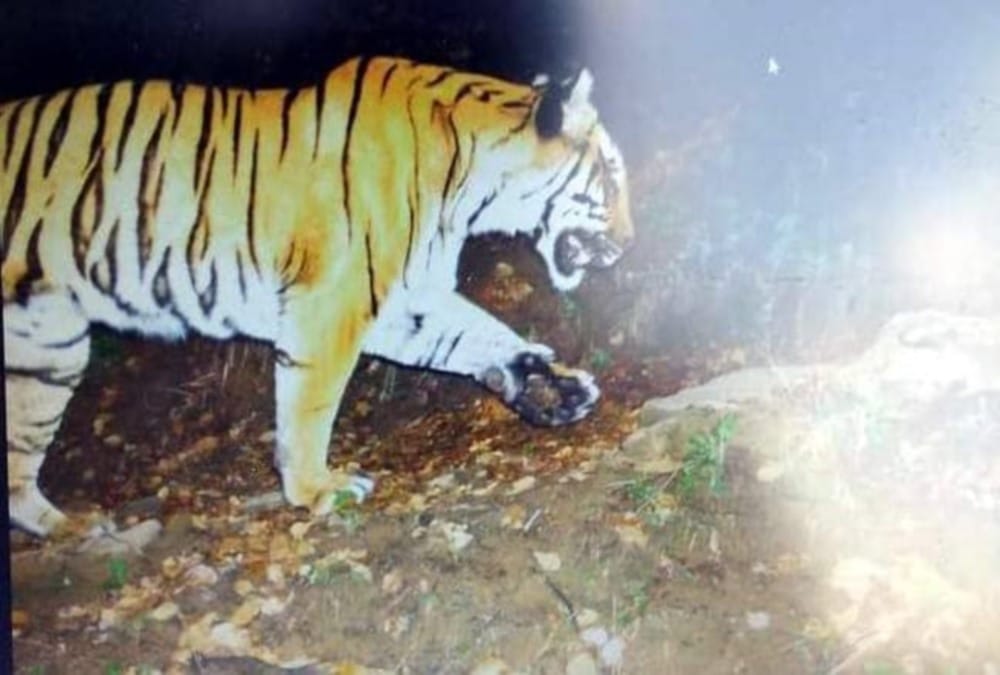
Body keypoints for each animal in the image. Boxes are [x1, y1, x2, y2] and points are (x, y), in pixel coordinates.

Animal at [2, 56, 634, 537]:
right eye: (609, 173)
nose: (630, 242)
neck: (470, 185)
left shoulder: (406, 298)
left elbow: (477, 331)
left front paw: (549, 388)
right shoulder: (332, 303)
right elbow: (309, 407)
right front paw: (317, 490)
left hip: (48, 345)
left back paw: (68, 527)